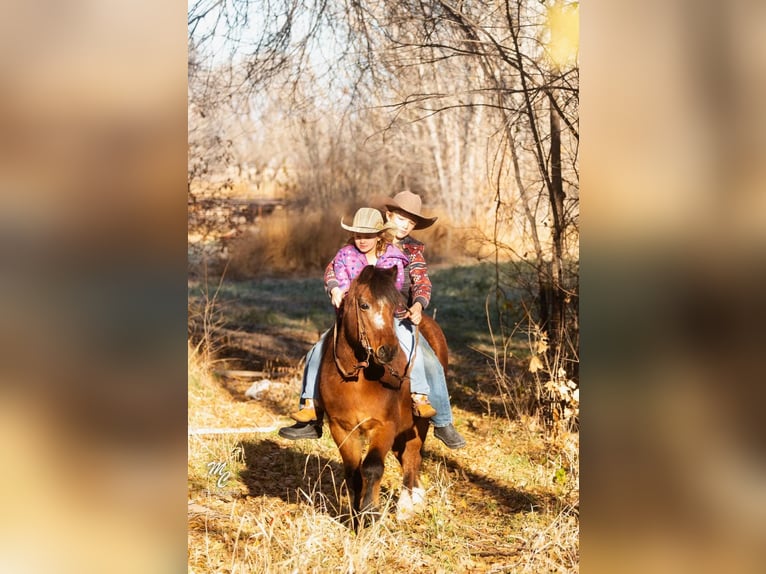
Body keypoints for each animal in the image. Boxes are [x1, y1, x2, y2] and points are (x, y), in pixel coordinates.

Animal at [318, 266, 450, 528]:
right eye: (364, 305)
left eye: (394, 308)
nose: (388, 351)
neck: (357, 379)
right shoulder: (341, 428)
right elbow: (353, 472)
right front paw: (355, 519)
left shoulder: (385, 426)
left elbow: (373, 467)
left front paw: (370, 515)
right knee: (405, 457)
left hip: (418, 424)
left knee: (411, 457)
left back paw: (407, 507)